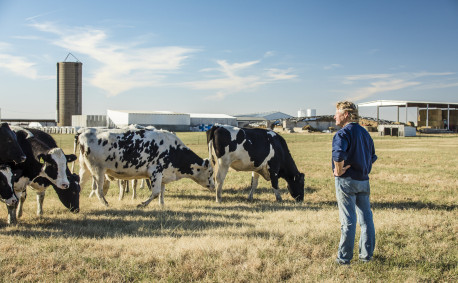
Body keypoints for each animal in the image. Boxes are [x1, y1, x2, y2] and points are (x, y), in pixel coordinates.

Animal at [76, 128, 216, 206]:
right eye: (210, 172)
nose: (214, 186)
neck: (172, 149)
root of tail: (83, 132)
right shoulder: (155, 173)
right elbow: (155, 192)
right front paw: (142, 204)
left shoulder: (163, 175)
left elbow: (162, 192)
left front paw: (162, 205)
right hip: (97, 170)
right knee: (98, 190)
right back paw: (105, 204)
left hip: (85, 169)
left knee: (79, 185)